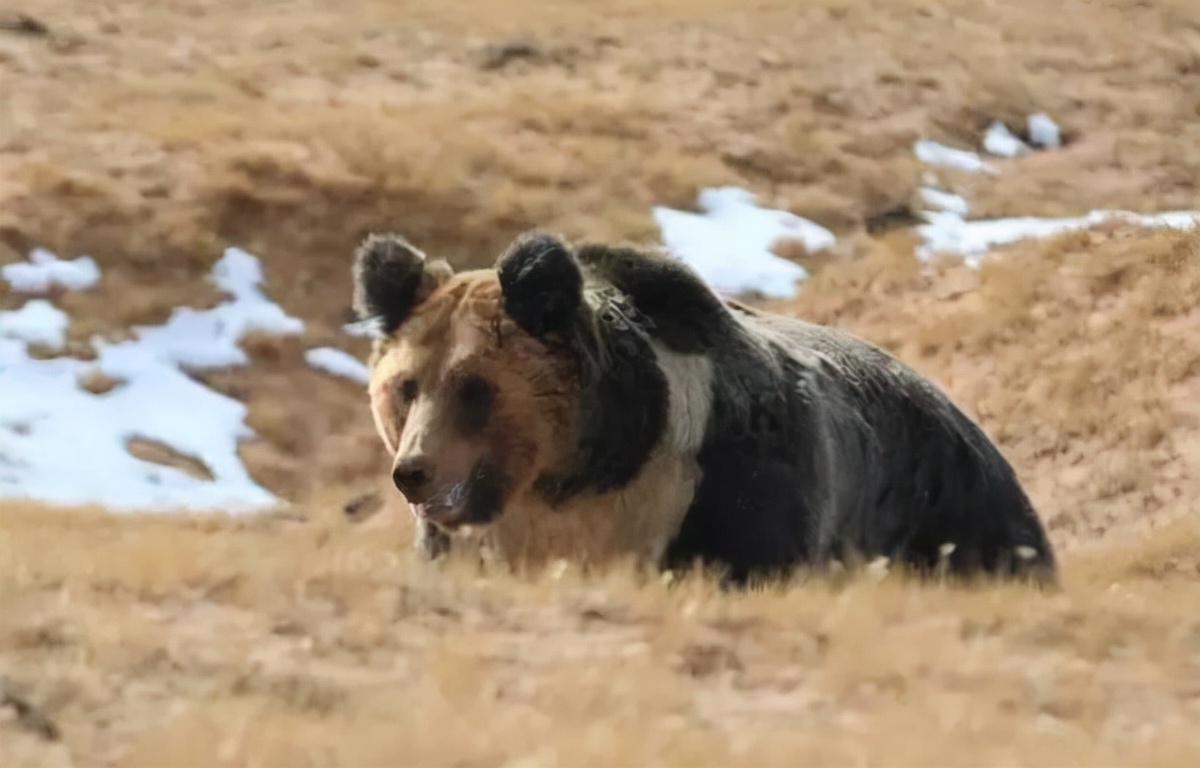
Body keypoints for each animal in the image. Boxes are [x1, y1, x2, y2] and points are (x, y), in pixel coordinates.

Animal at [350, 230, 1056, 585]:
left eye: (475, 387)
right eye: (406, 386)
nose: (415, 472)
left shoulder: (723, 481)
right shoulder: (475, 542)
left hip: (947, 515)